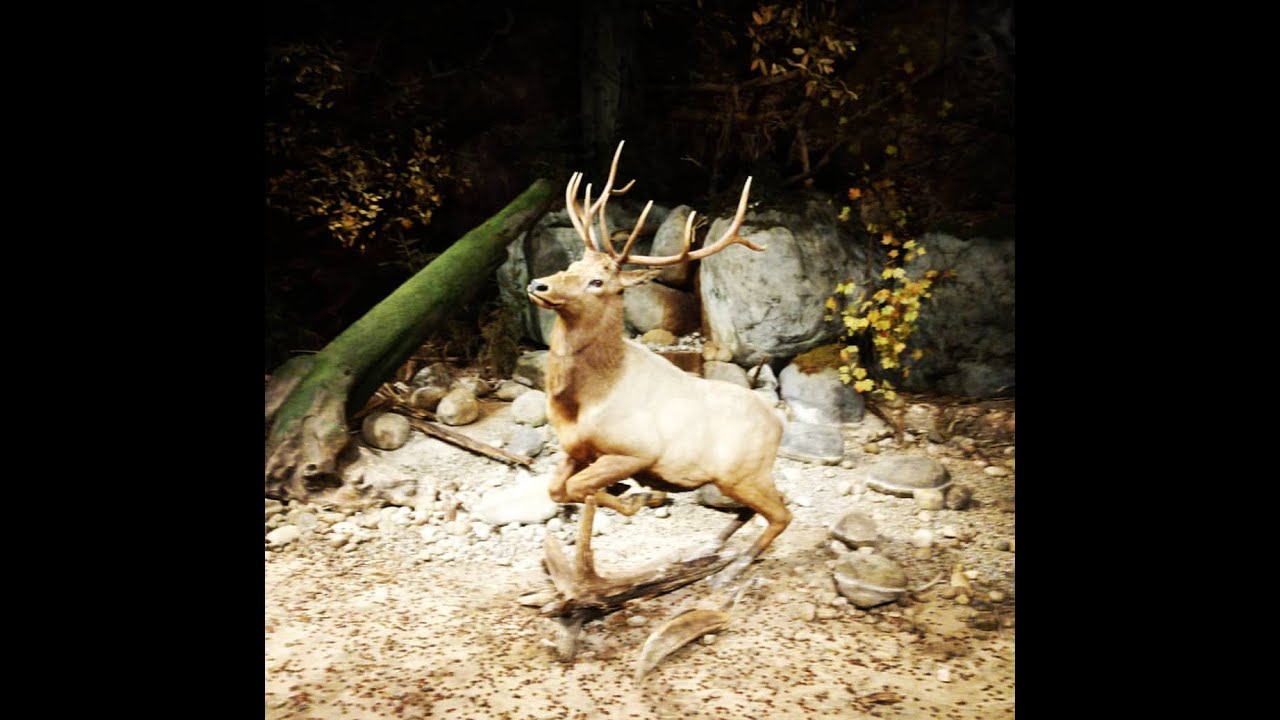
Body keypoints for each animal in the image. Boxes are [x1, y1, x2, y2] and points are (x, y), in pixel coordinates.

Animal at [526, 141, 792, 595]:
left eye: (598, 282)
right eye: (572, 266)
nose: (539, 285)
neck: (586, 398)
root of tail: (780, 424)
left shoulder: (637, 449)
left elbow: (580, 487)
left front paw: (638, 498)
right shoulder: (575, 448)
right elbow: (556, 488)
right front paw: (633, 499)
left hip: (744, 471)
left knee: (782, 514)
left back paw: (731, 570)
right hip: (742, 477)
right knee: (759, 511)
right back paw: (709, 547)